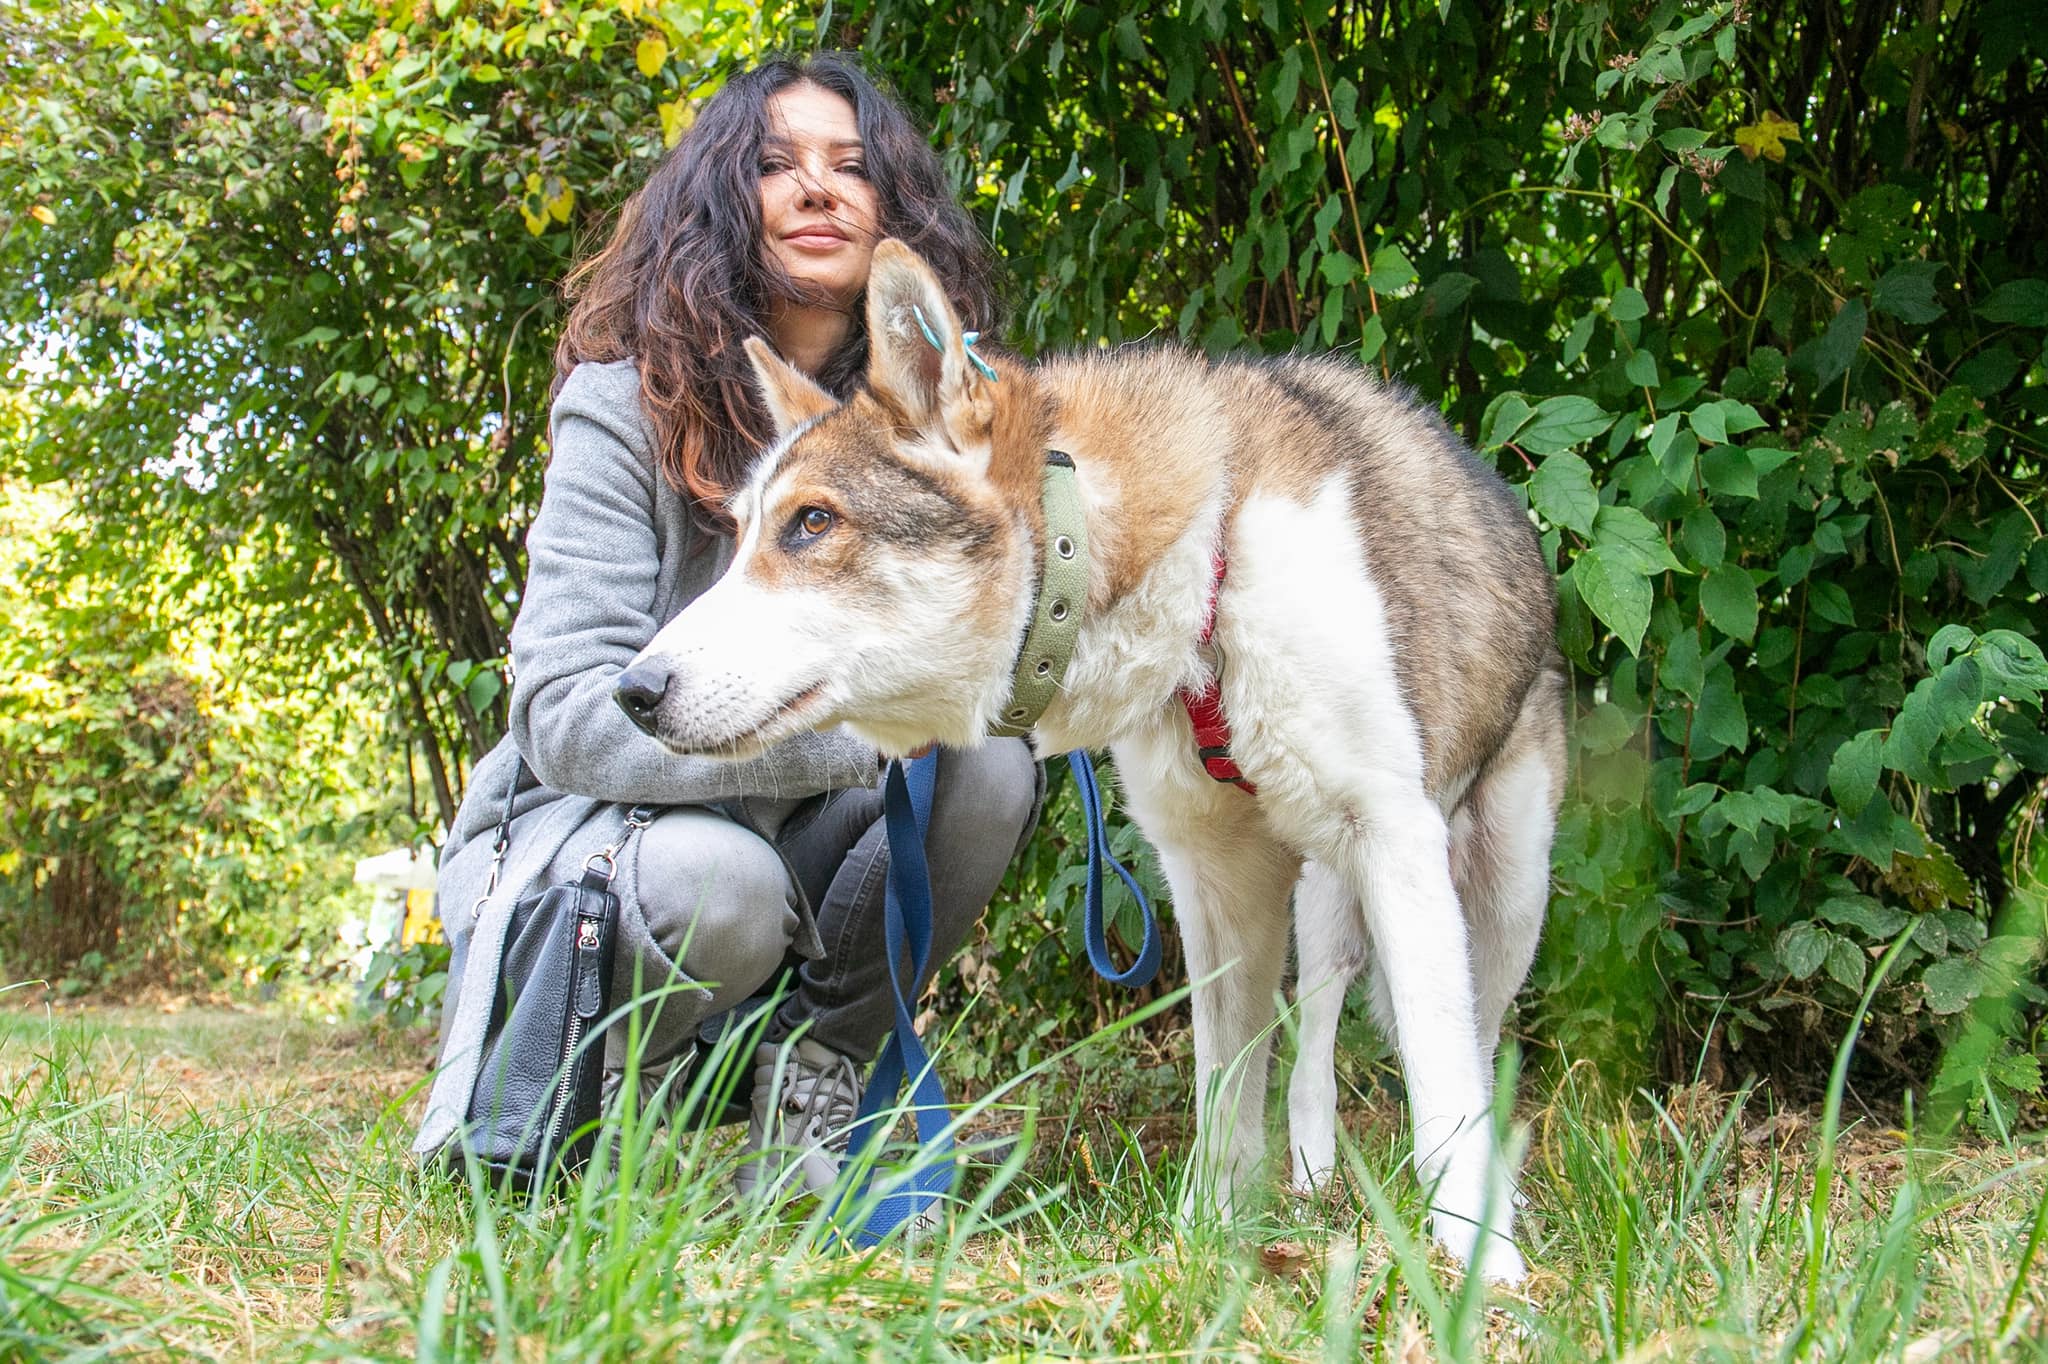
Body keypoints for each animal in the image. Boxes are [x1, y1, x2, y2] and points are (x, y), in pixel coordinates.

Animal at [614, 236, 1556, 1277]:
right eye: (742, 535)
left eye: (813, 523)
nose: (633, 693)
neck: (1207, 575)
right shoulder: (1215, 879)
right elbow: (1224, 1094)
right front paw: (1209, 1238)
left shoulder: (1393, 839)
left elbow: (1443, 1089)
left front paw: (1479, 1269)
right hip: (1321, 898)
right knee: (1313, 1035)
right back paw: (1312, 1179)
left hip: (1499, 895)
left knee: (1467, 1038)